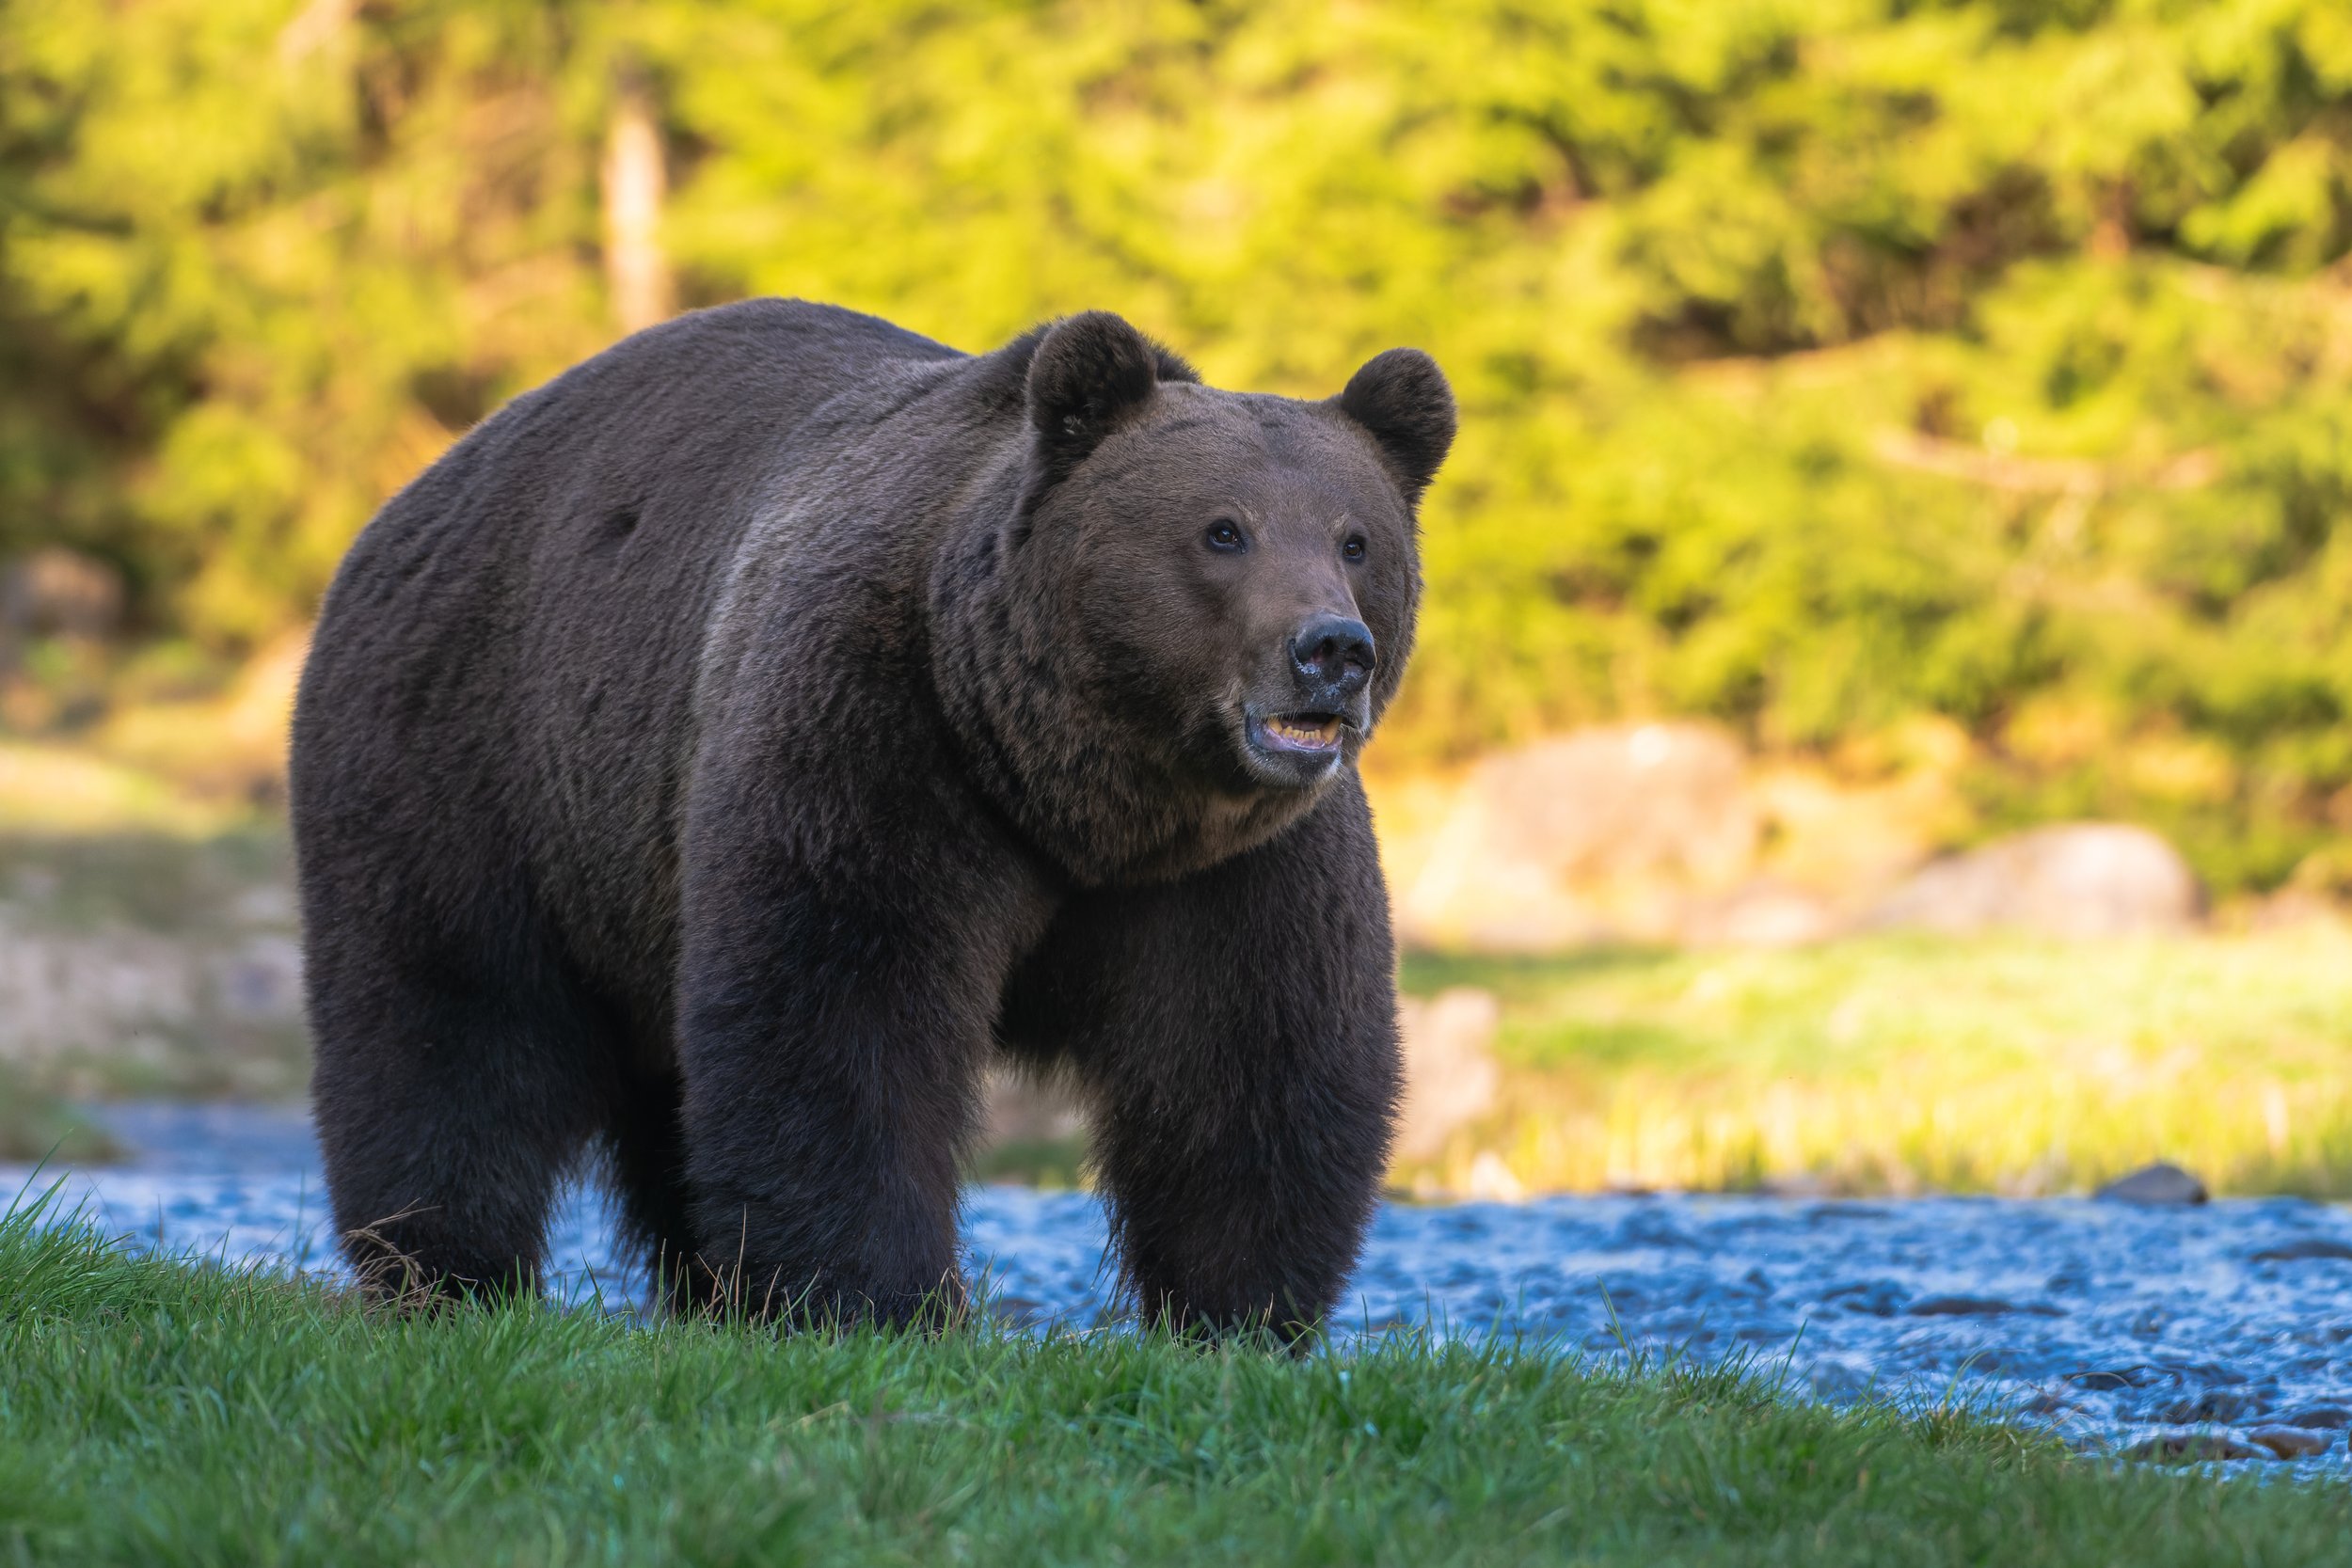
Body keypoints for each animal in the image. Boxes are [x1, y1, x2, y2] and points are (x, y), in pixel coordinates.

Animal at [290, 299, 1454, 1336]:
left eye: (1356, 539)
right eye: (1222, 530)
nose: (1329, 650)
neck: (1075, 786)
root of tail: (418, 490)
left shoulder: (1232, 862)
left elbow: (1249, 1055)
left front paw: (1242, 1309)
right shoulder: (880, 732)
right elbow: (844, 1005)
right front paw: (872, 1297)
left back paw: (704, 1284)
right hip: (477, 757)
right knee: (450, 1017)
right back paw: (445, 1268)